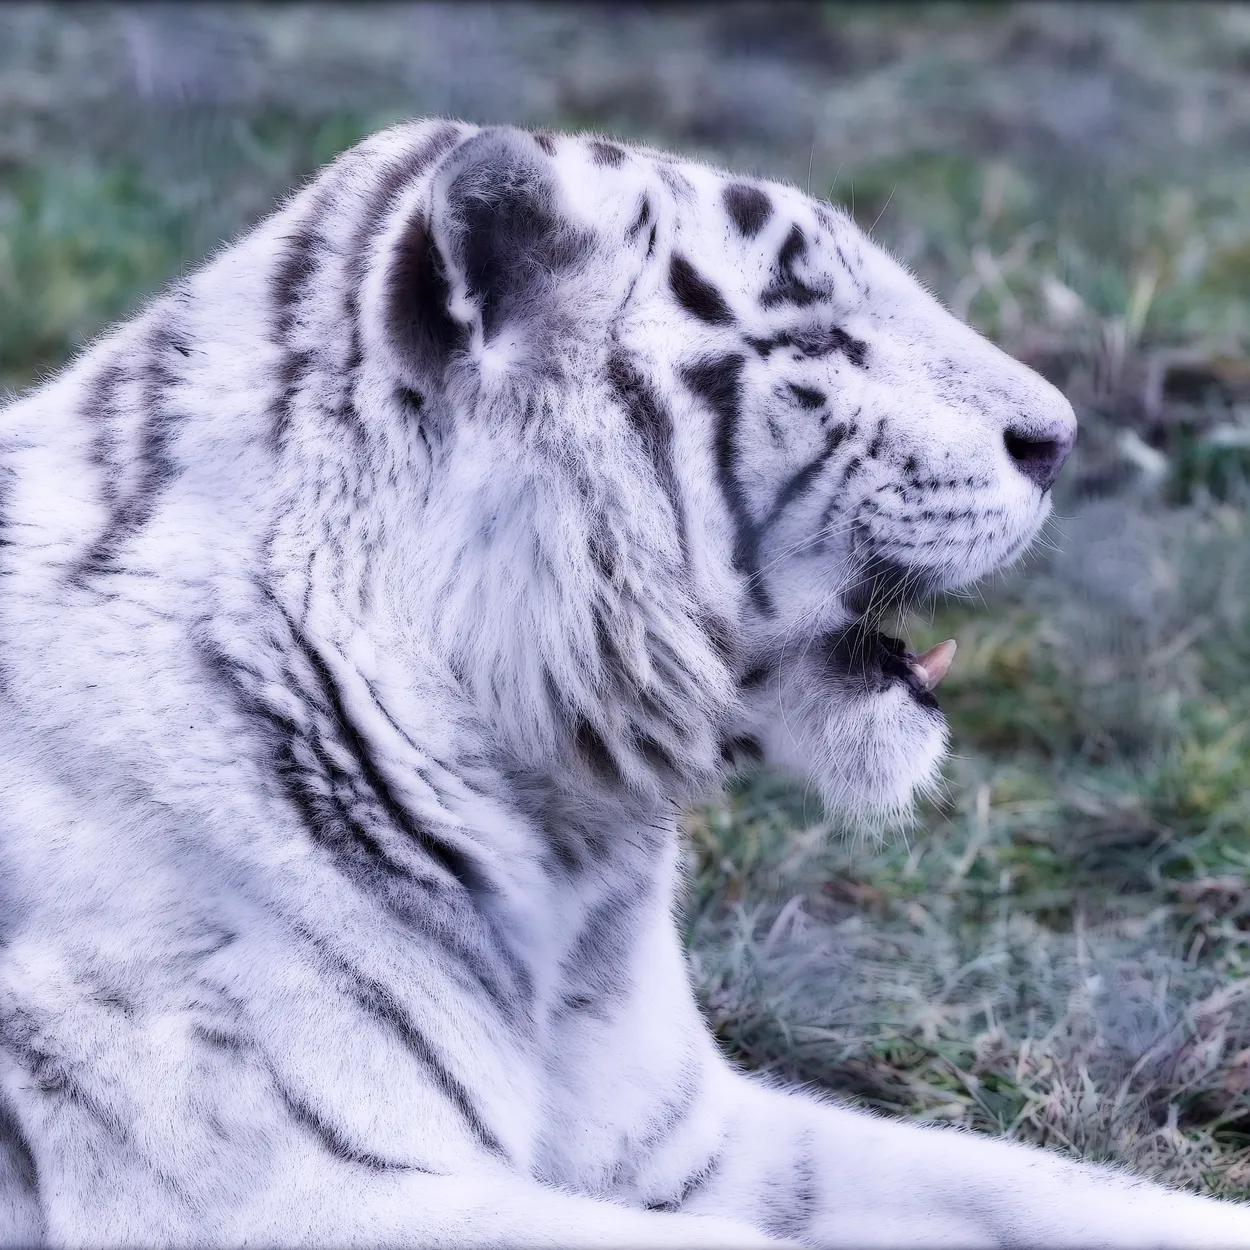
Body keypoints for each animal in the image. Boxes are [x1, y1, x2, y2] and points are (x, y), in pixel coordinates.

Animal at [0, 117, 1246, 1249]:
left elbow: (1042, 1180)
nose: (1060, 437)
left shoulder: (694, 1143)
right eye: (820, 337)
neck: (565, 831)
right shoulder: (292, 1194)